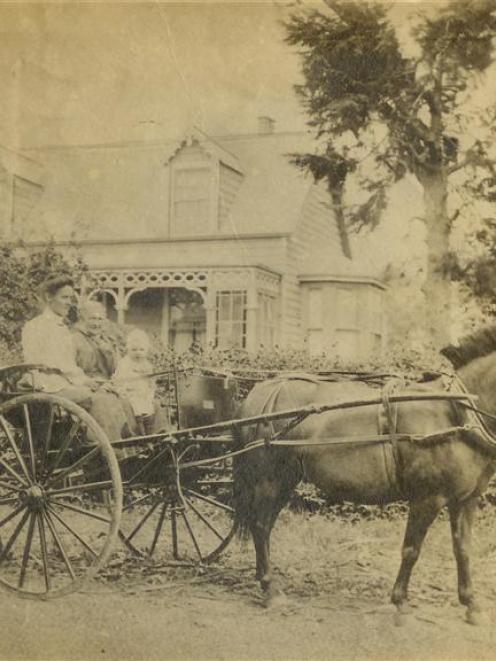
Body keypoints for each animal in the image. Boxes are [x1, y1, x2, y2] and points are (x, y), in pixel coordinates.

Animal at [233, 354, 496, 620]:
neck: (455, 412)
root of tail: (263, 390)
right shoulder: (427, 499)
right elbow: (411, 550)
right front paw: (399, 601)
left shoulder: (466, 499)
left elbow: (463, 548)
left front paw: (471, 603)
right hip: (269, 479)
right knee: (260, 525)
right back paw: (270, 590)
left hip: (285, 481)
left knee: (265, 526)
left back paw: (263, 579)